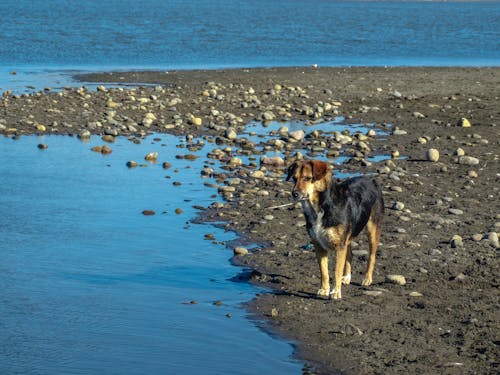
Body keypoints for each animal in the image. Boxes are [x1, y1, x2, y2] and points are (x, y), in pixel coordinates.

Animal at [288, 160, 384, 302]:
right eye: (294, 178)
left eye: (307, 178)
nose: (294, 194)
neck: (320, 207)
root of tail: (371, 179)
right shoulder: (319, 245)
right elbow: (324, 271)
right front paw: (324, 289)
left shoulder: (339, 246)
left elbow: (336, 271)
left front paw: (336, 292)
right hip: (347, 236)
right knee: (350, 254)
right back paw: (347, 277)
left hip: (372, 229)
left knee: (371, 256)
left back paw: (367, 278)